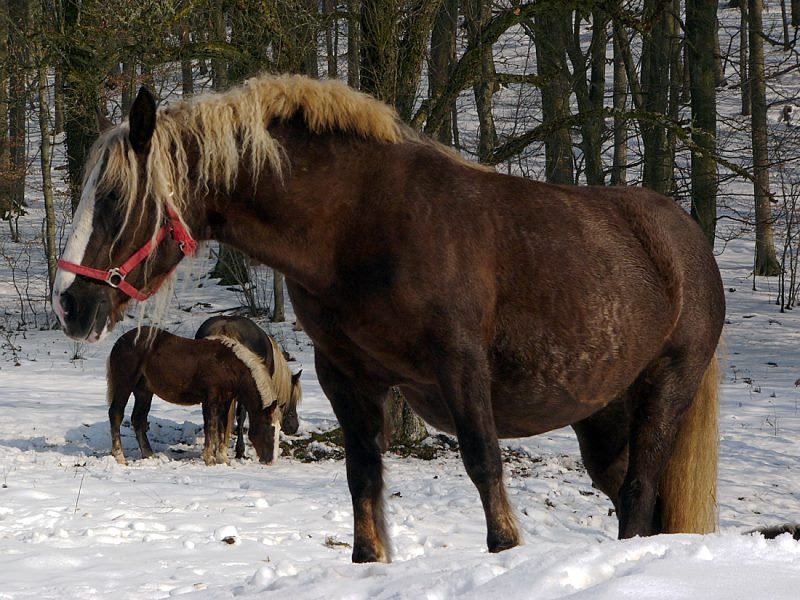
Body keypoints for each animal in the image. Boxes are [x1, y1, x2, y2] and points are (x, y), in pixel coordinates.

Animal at [106, 326, 282, 466]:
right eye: (269, 427)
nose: (271, 461)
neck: (229, 366)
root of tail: (120, 342)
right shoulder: (211, 399)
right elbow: (211, 427)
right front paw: (209, 459)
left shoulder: (226, 401)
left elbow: (222, 426)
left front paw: (223, 459)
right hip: (124, 385)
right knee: (116, 414)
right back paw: (120, 457)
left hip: (144, 392)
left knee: (138, 419)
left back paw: (149, 455)